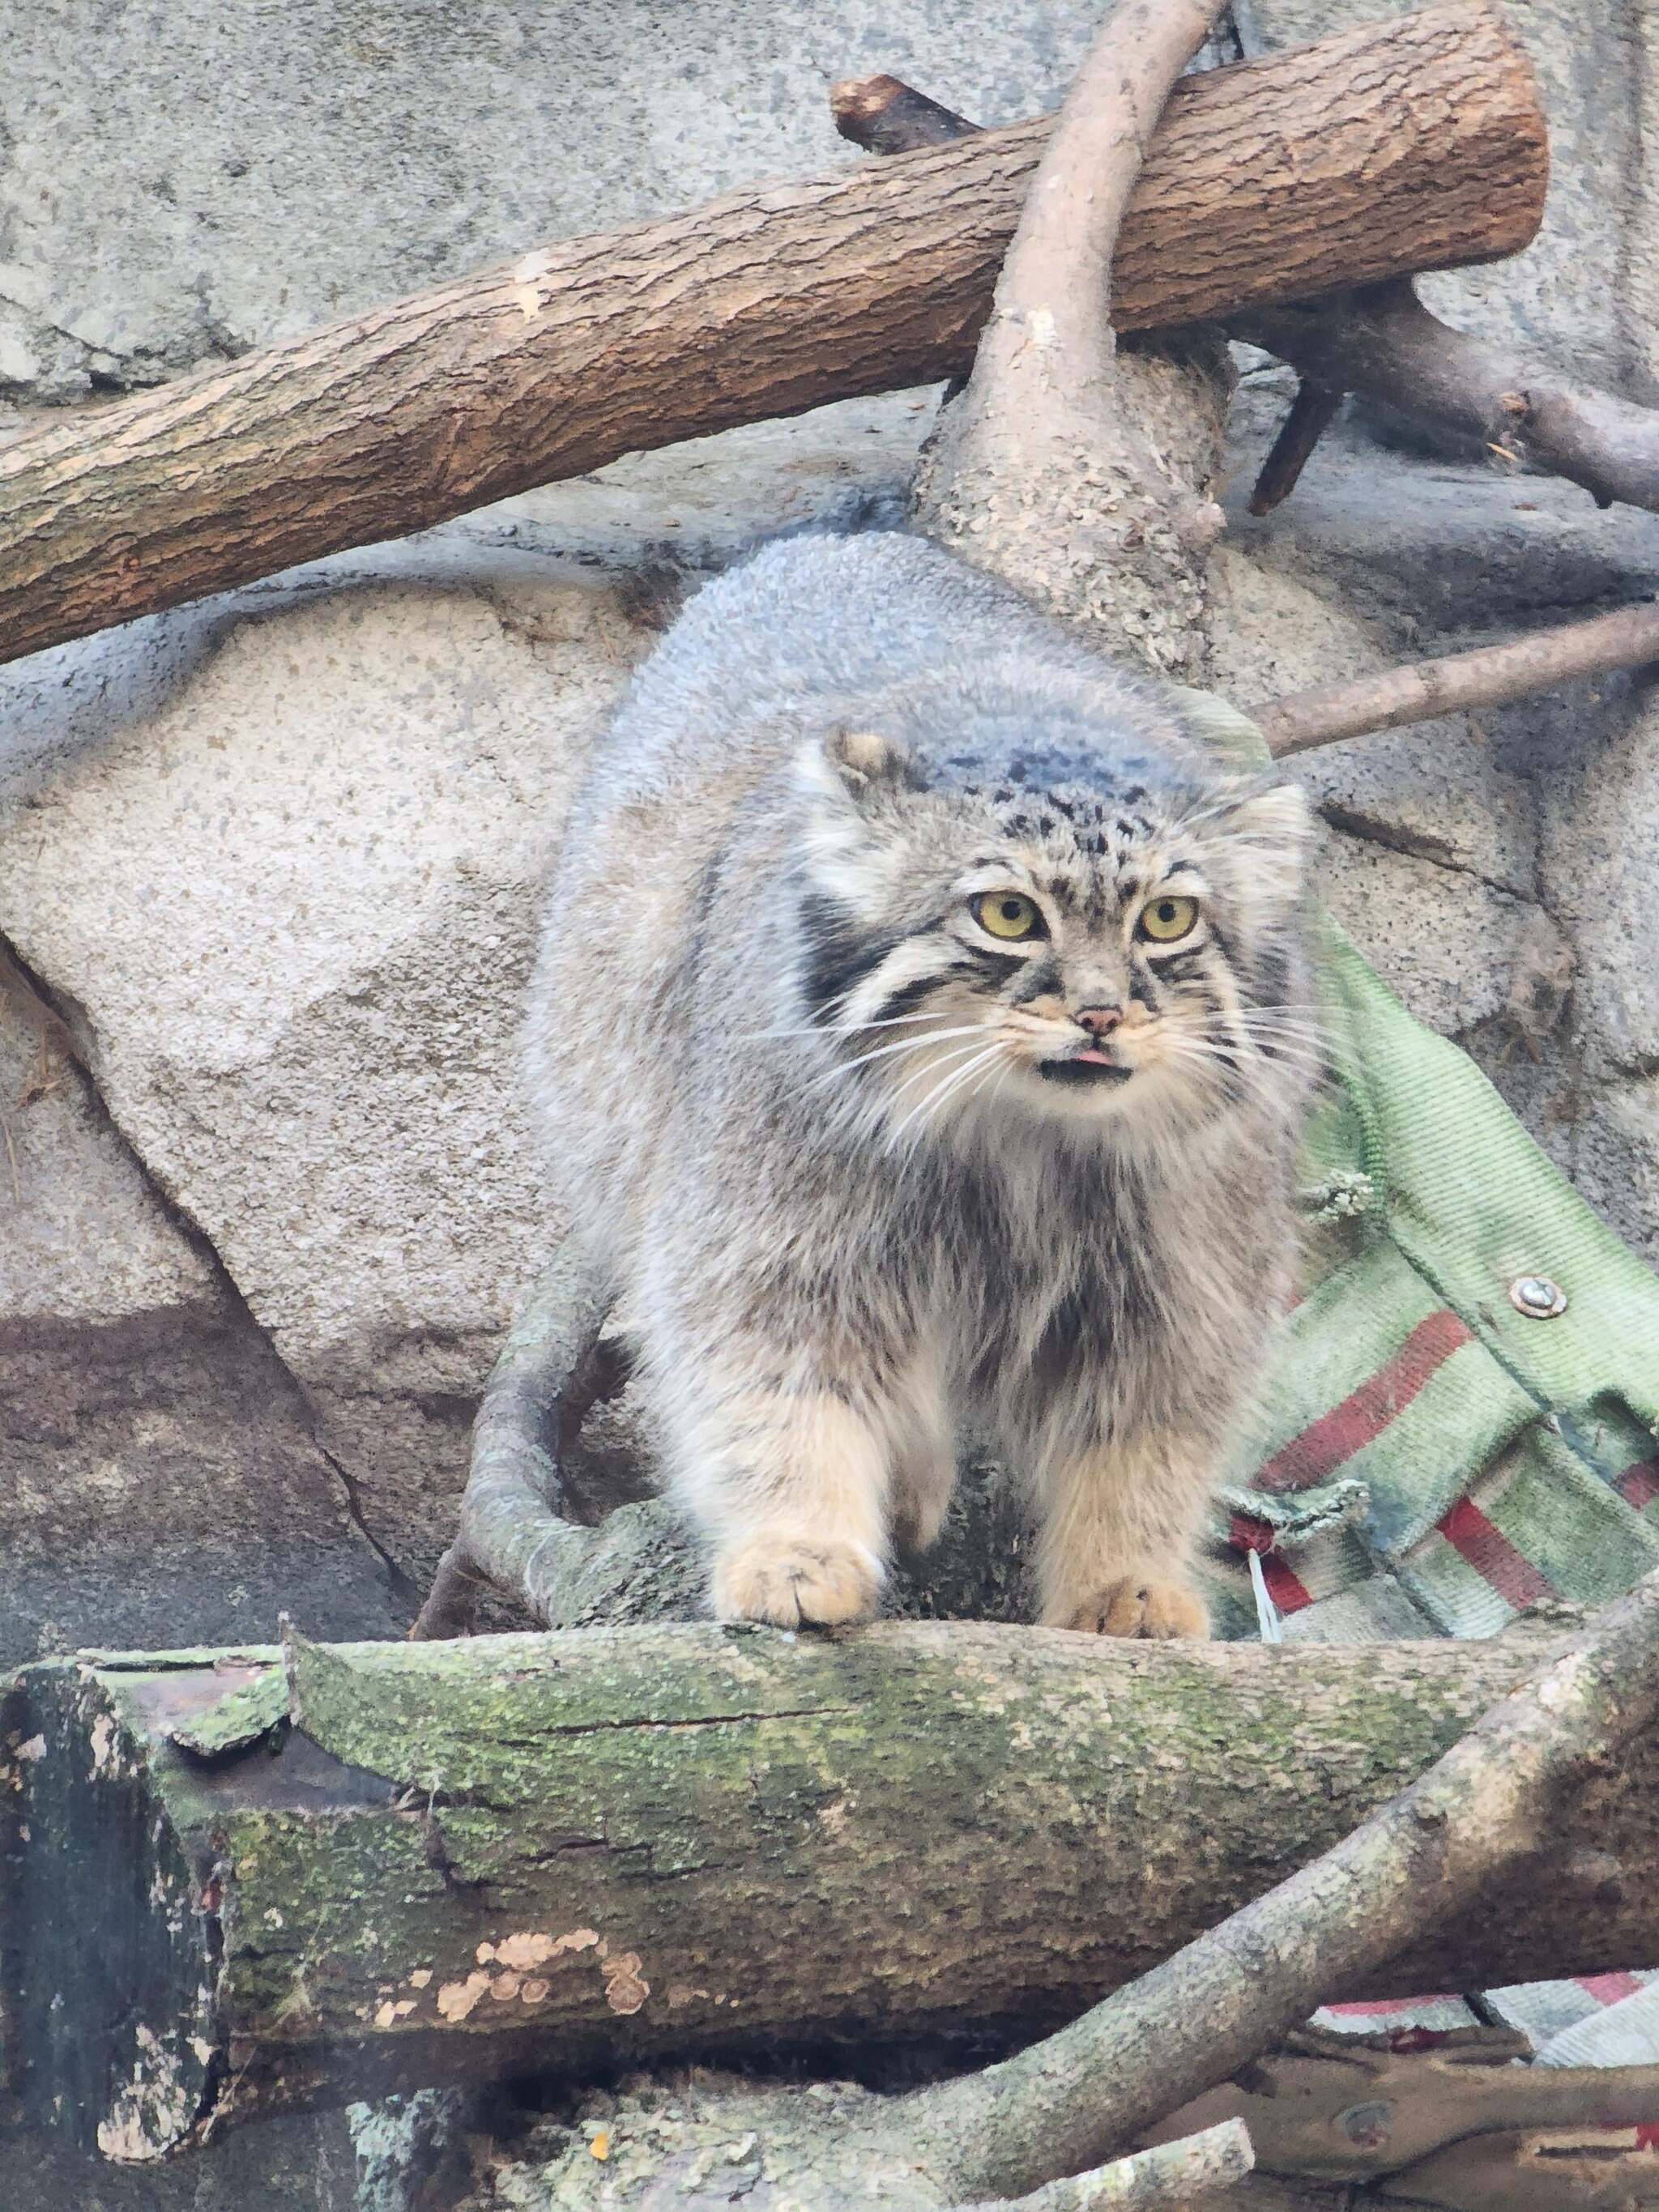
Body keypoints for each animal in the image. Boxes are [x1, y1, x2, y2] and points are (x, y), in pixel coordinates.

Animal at [526, 533, 1318, 1636]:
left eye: (1166, 919)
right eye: (1007, 914)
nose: (1100, 1013)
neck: (1020, 1143)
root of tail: (830, 538)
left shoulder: (1184, 1278)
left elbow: (1141, 1451)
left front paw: (1125, 1581)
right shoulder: (770, 1238)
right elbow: (778, 1398)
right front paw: (796, 1547)